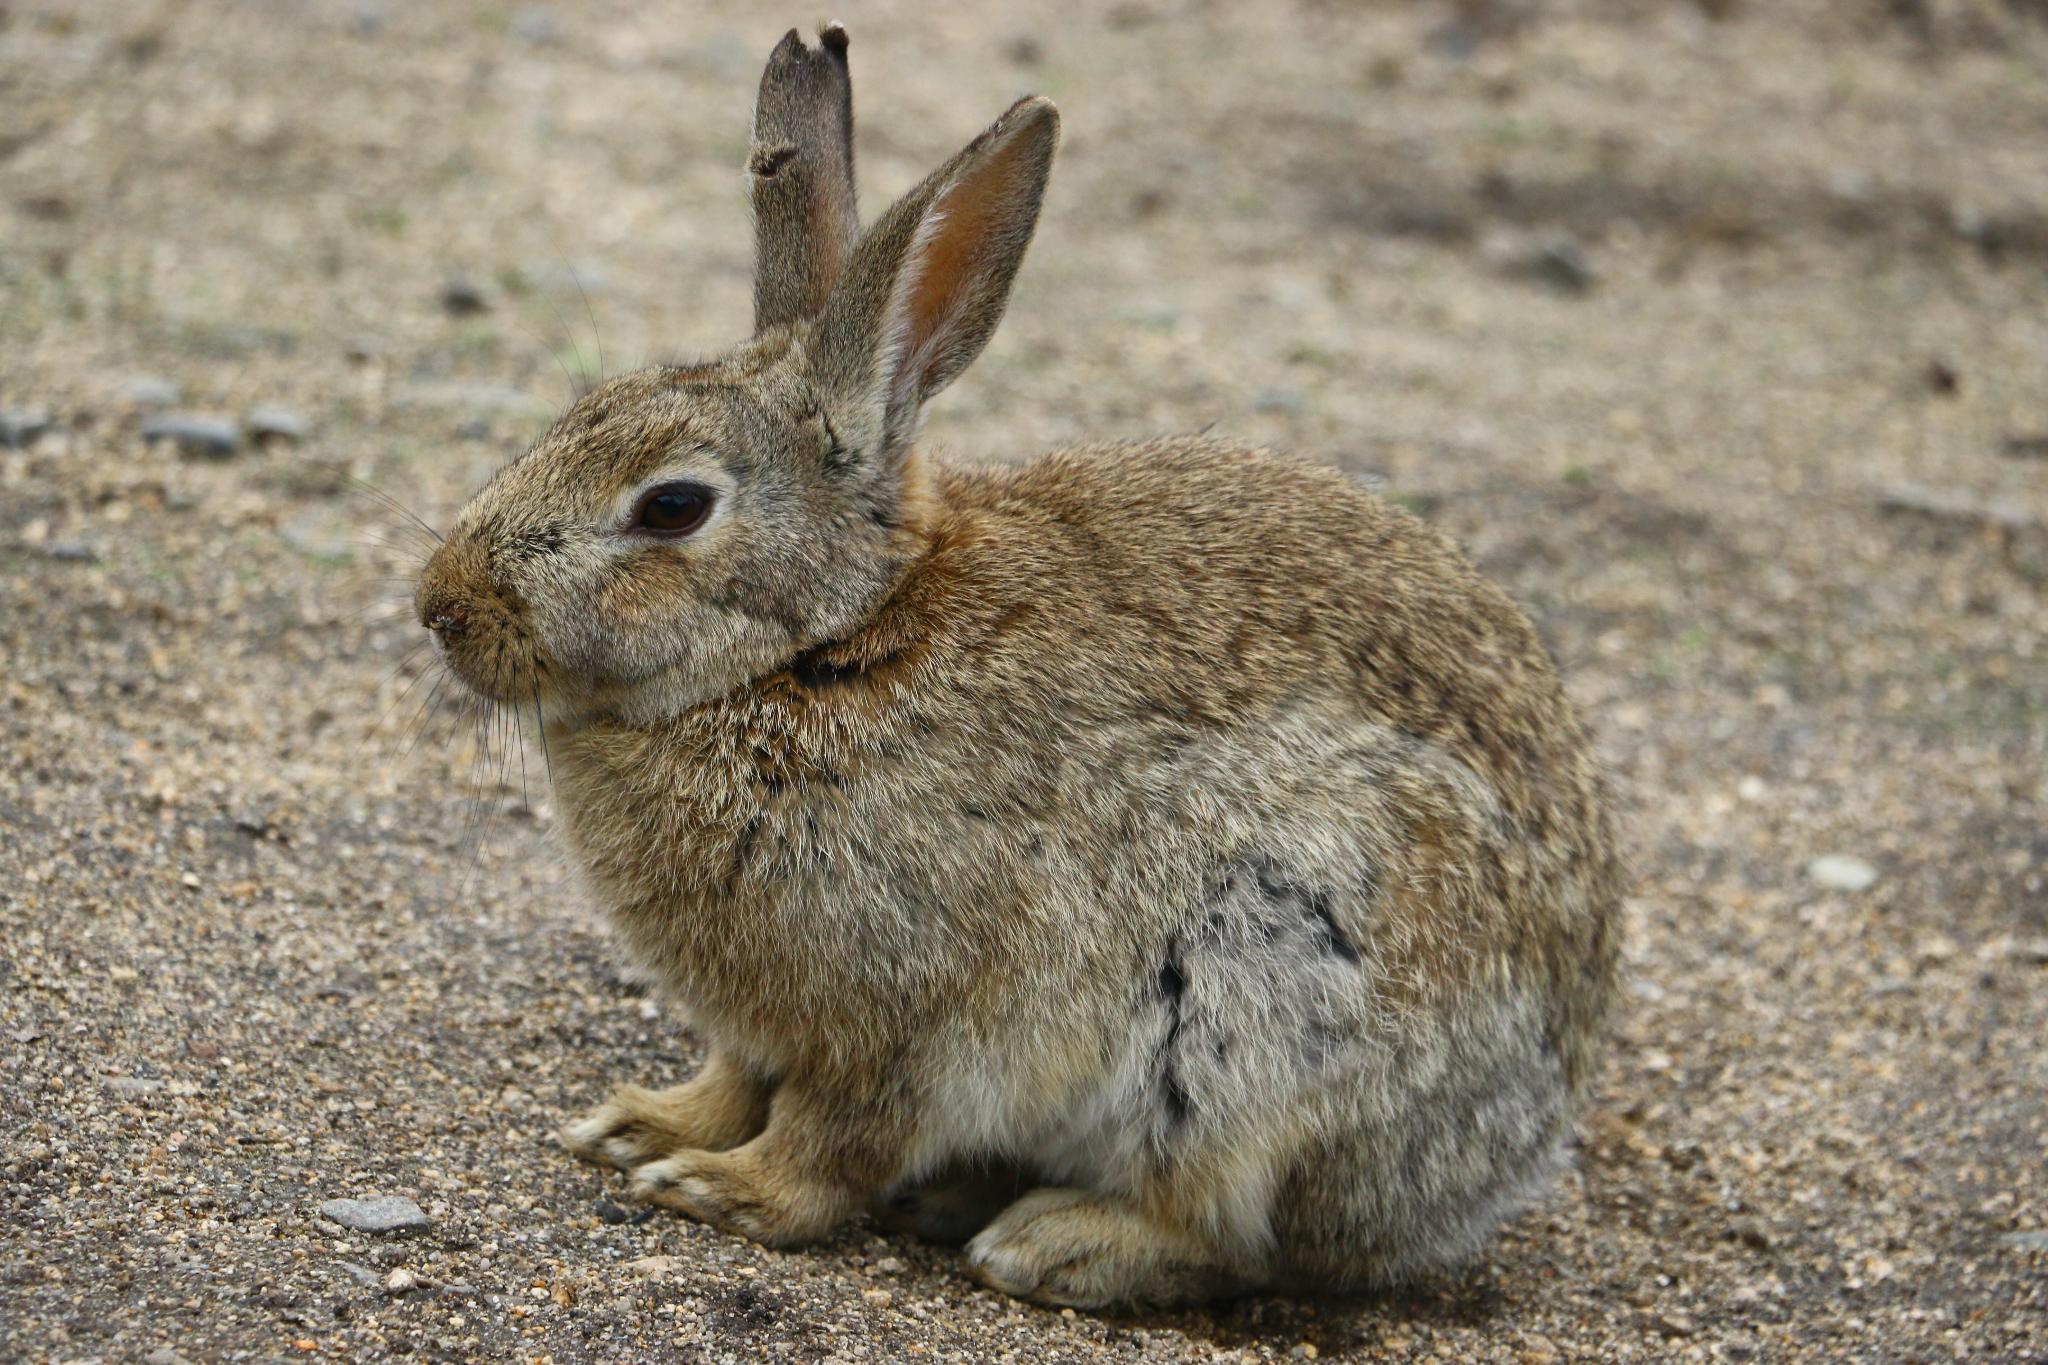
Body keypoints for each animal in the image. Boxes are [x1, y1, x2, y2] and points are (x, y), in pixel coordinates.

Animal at [411, 23, 1623, 1308]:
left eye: (673, 507)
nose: (440, 606)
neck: (821, 647)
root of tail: (1504, 1156)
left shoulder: (907, 1012)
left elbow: (833, 1138)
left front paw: (723, 1190)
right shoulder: (764, 1022)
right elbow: (735, 1078)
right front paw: (644, 1126)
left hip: (1269, 994)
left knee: (1238, 1231)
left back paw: (1053, 1240)